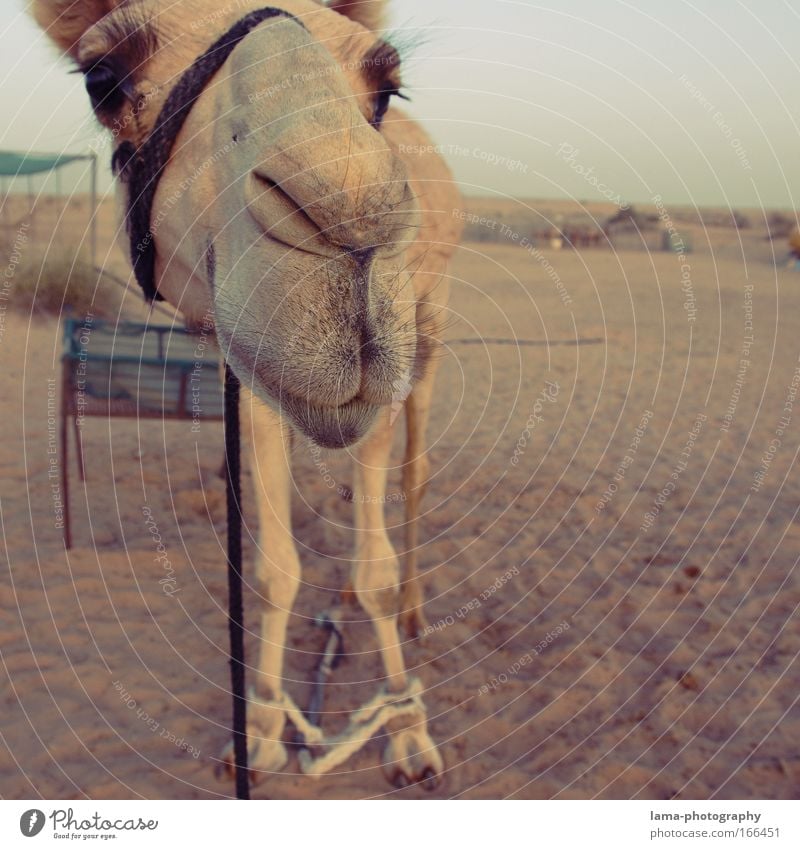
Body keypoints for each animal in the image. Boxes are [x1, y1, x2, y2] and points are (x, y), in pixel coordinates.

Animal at [31, 0, 462, 788]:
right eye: (103, 79)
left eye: (386, 85)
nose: (348, 212)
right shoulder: (252, 376)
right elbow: (272, 566)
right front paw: (258, 731)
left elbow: (378, 567)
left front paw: (407, 731)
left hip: (431, 315)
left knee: (413, 475)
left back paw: (415, 609)